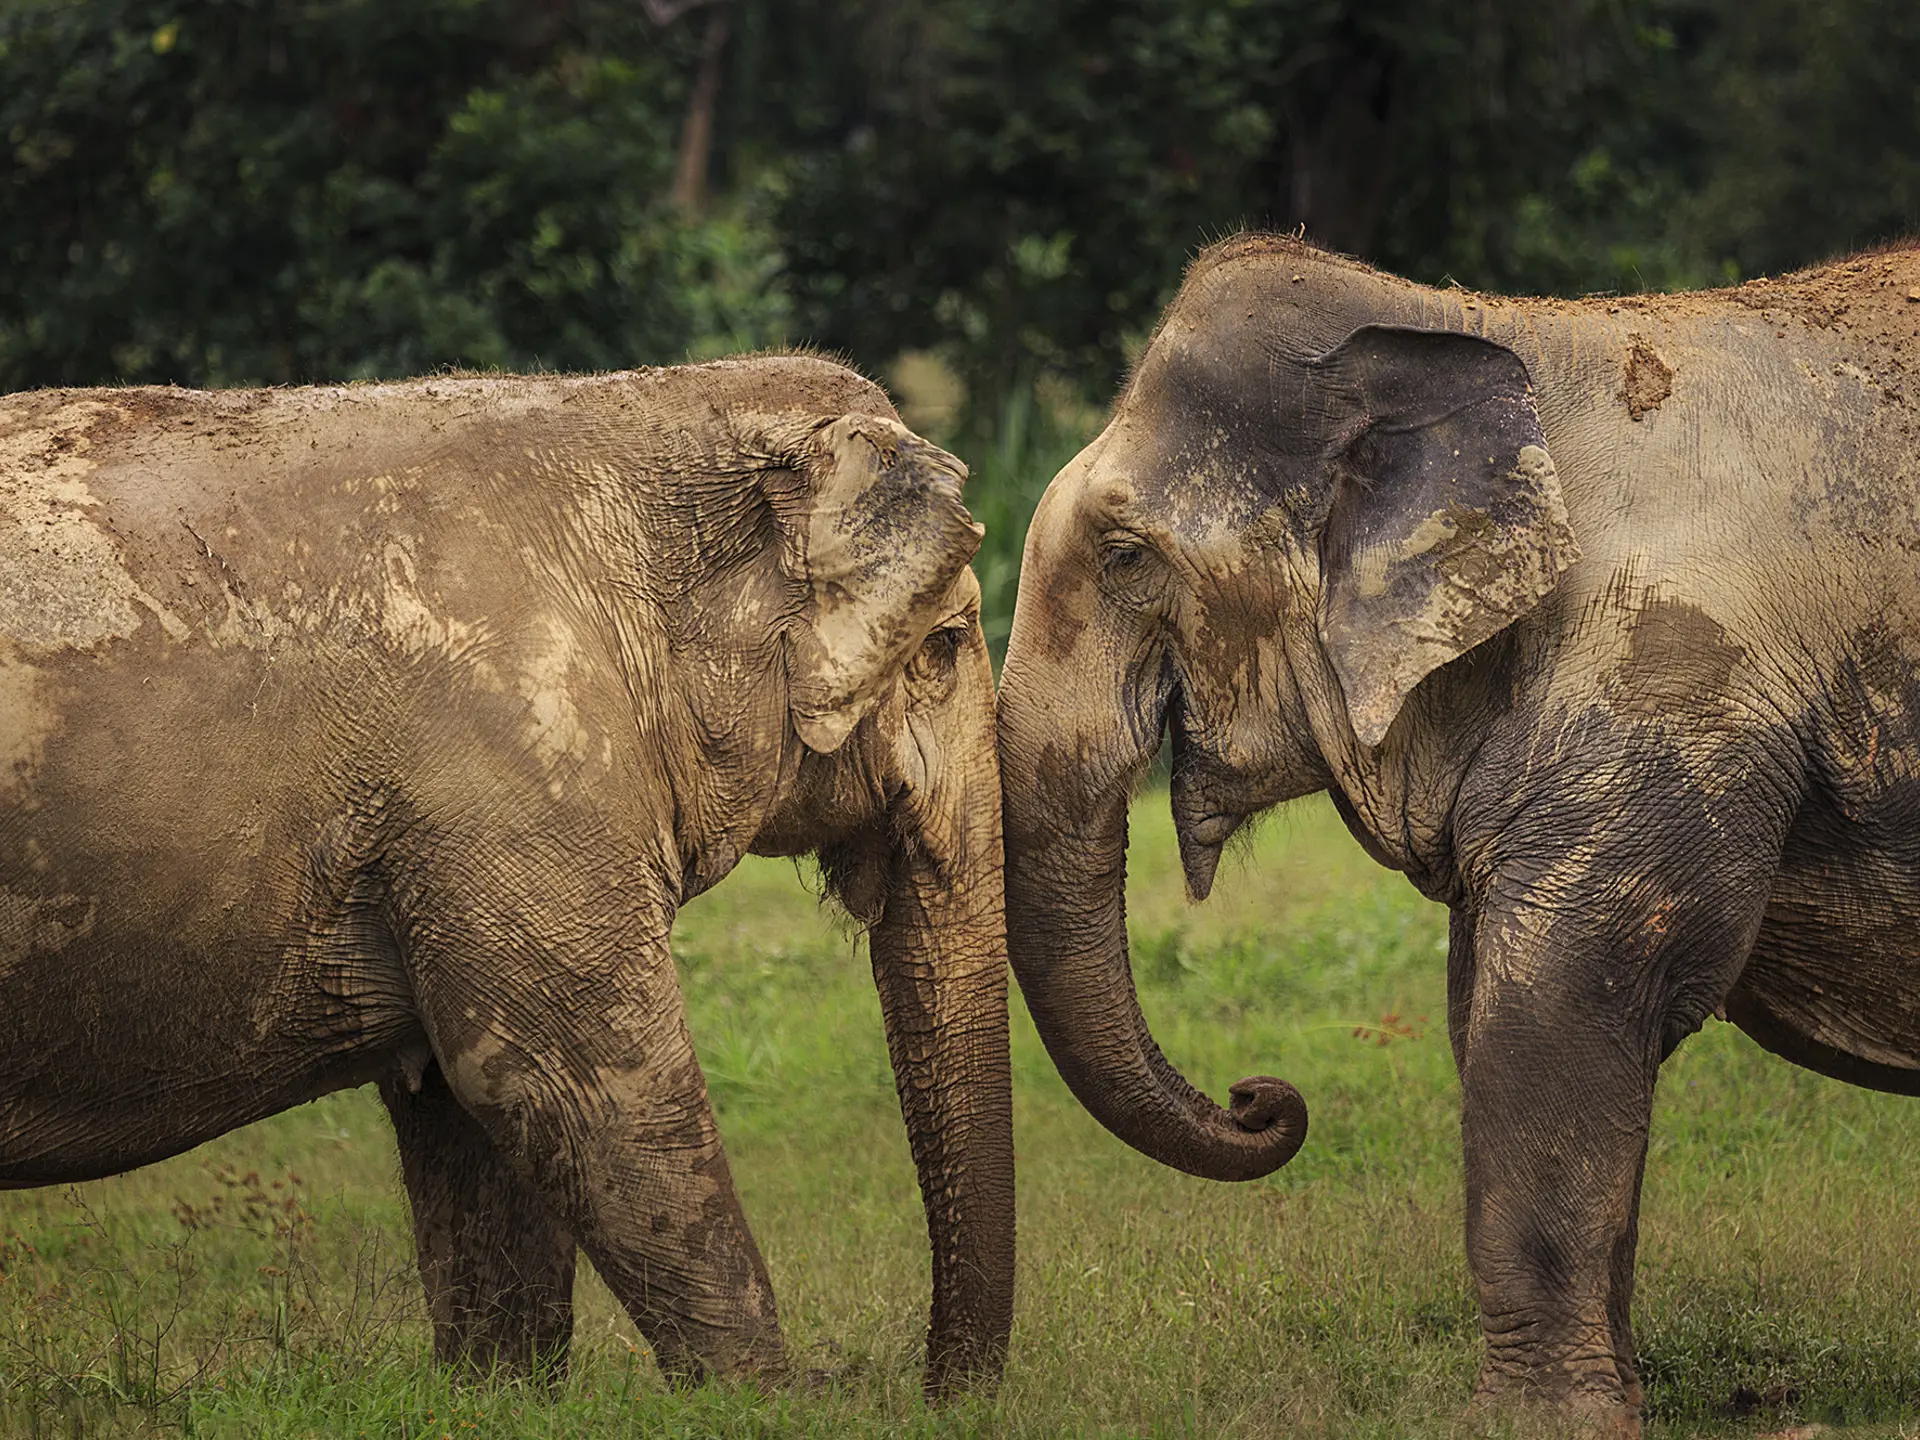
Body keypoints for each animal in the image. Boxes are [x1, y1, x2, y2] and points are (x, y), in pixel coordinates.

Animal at [0, 355, 1013, 1405]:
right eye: (944, 649)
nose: (932, 1395)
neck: (644, 404)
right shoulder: (515, 769)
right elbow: (574, 1089)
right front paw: (770, 1400)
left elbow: (472, 1104)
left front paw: (496, 1390)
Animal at [998, 231, 1920, 1428]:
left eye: (1124, 554)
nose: (1258, 1097)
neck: (1491, 333)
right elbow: (1487, 1001)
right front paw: (1607, 1410)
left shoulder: (1669, 686)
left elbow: (1551, 1008)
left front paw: (1535, 1426)